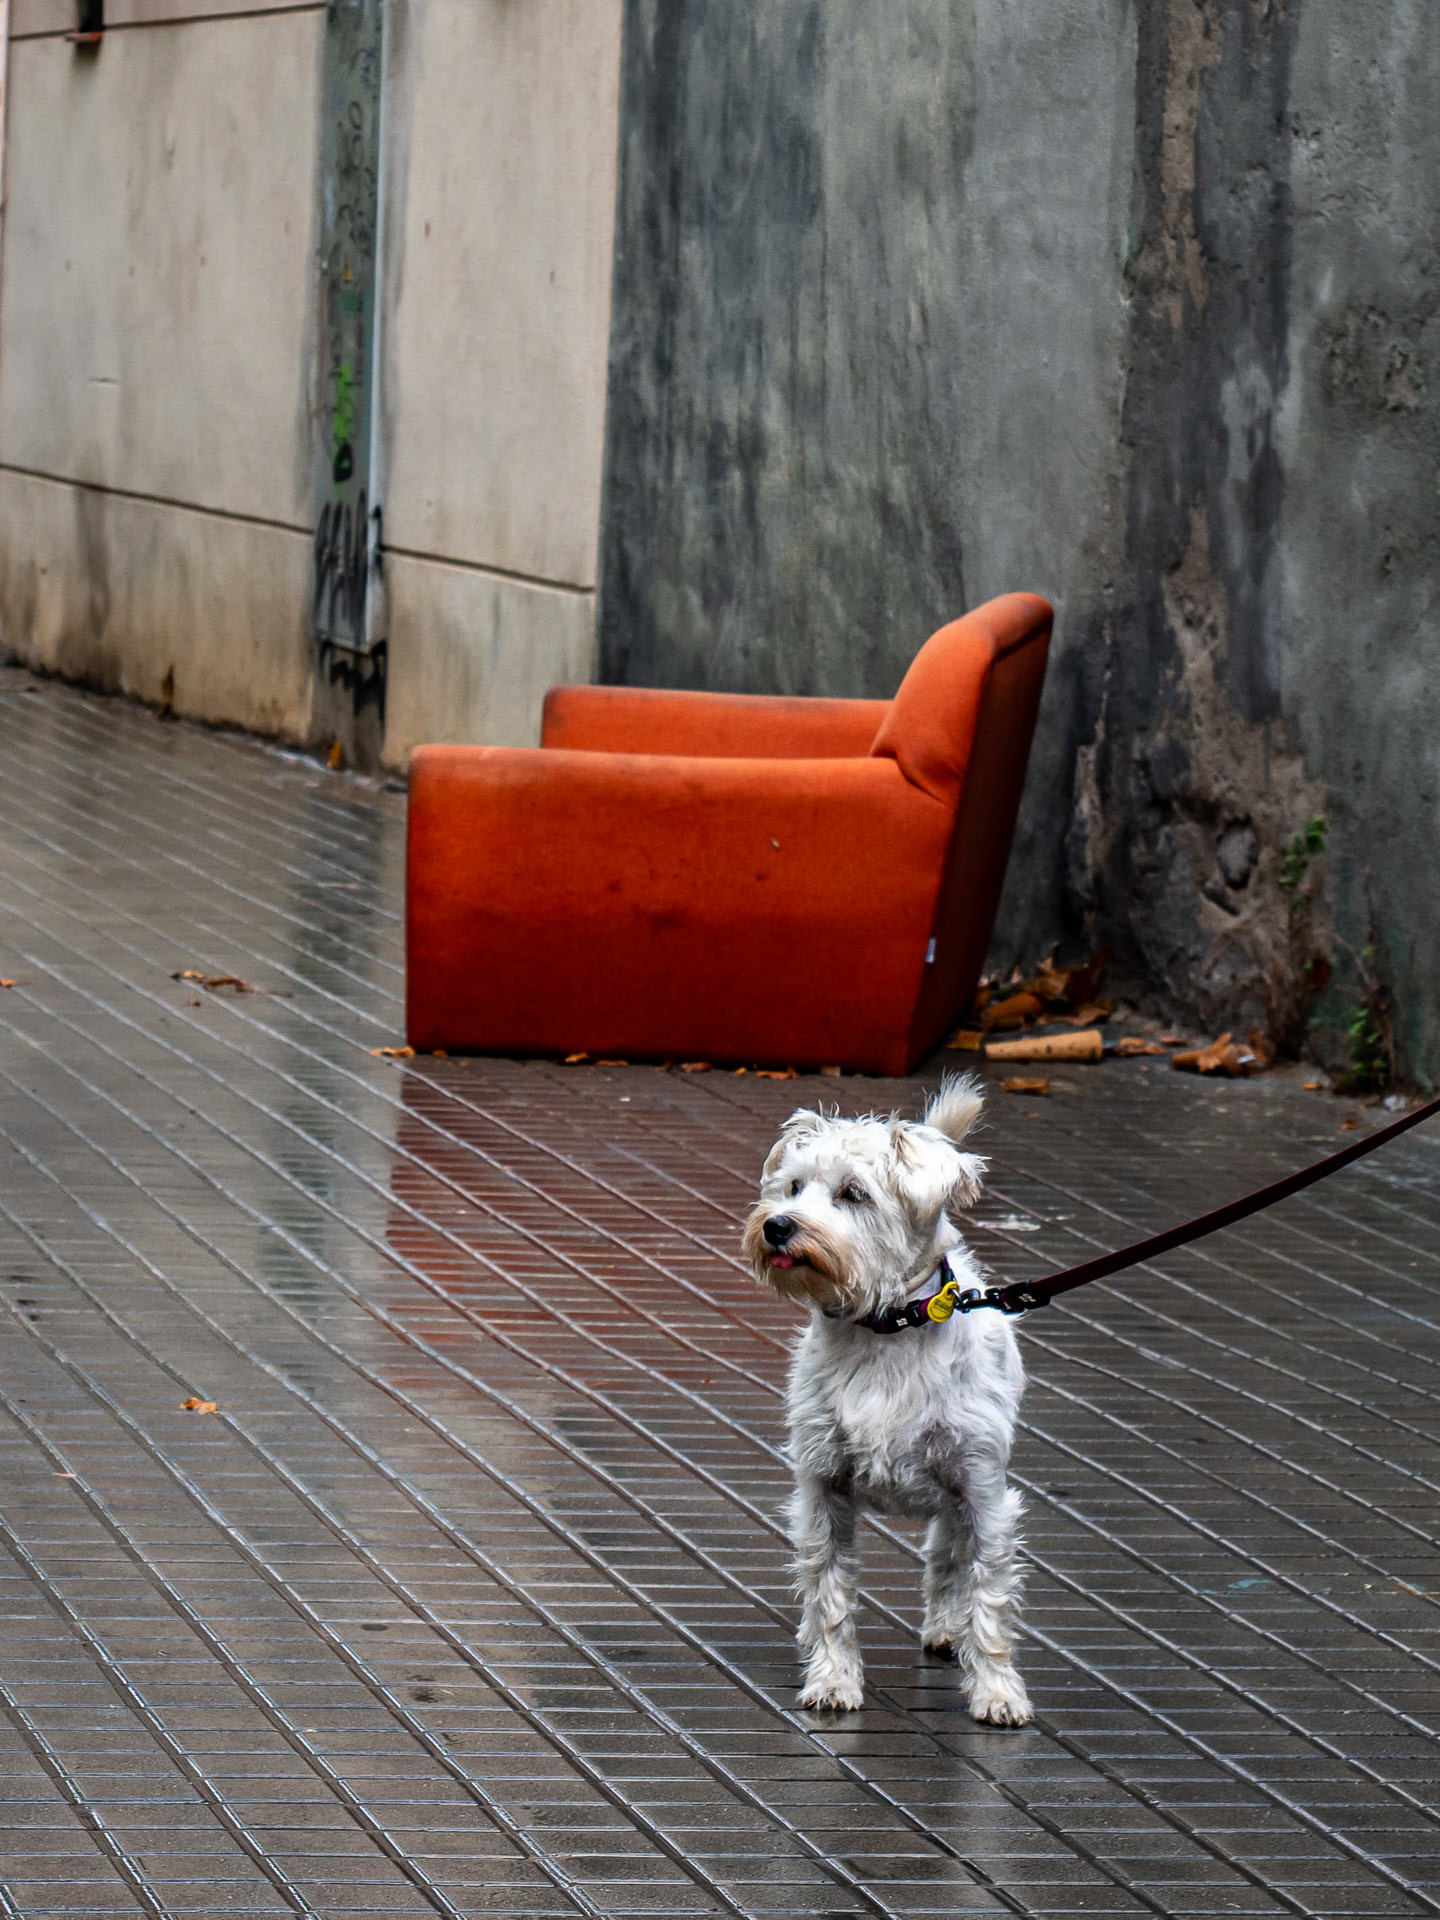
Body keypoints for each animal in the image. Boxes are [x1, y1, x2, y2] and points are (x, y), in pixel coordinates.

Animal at [743, 1075, 1031, 1725]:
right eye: (792, 1187)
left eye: (853, 1193)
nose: (778, 1225)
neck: (888, 1328)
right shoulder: (823, 1488)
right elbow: (829, 1596)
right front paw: (833, 1680)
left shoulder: (983, 1491)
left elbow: (989, 1597)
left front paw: (997, 1691)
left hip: (958, 1494)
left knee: (949, 1559)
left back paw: (950, 1631)